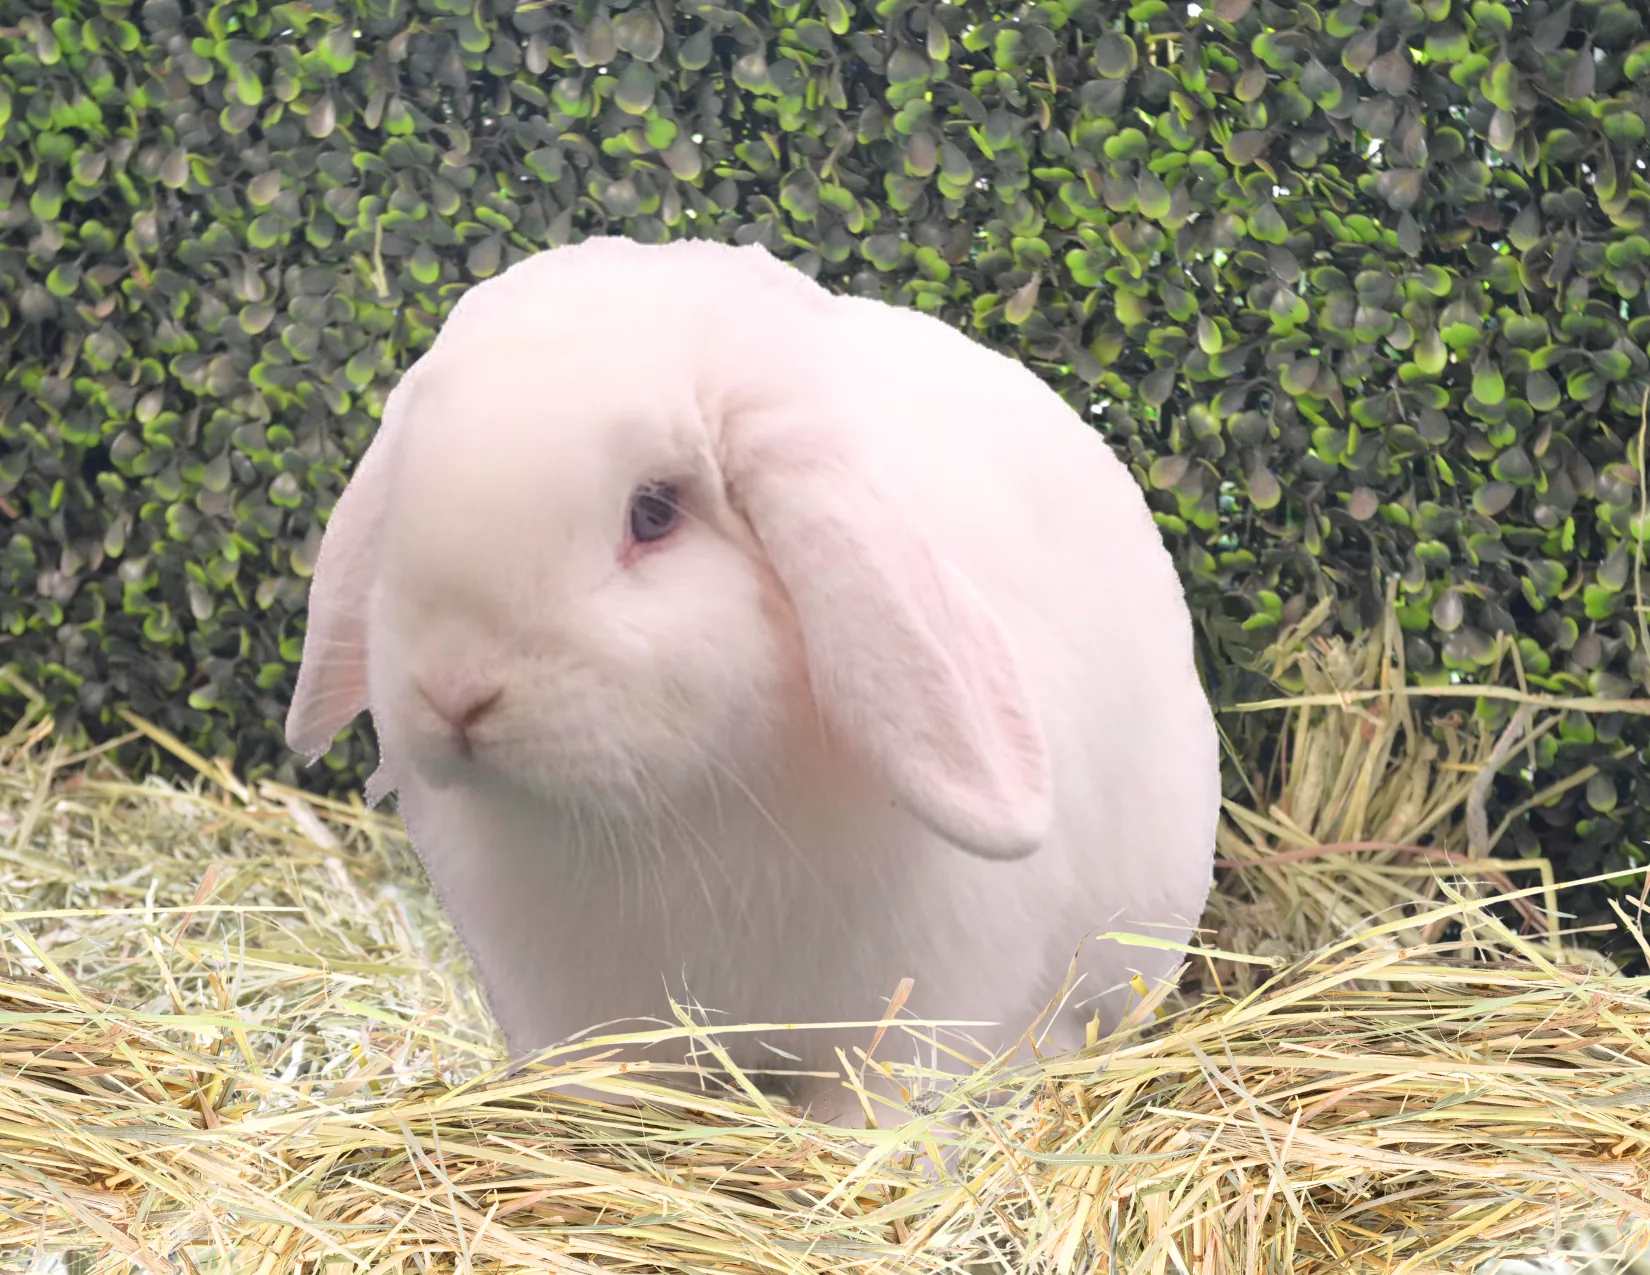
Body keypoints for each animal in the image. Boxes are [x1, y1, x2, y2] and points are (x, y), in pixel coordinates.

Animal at [285, 236, 1221, 1126]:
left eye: (655, 511)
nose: (454, 693)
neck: (678, 809)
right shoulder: (578, 1001)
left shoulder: (919, 986)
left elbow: (882, 1087)